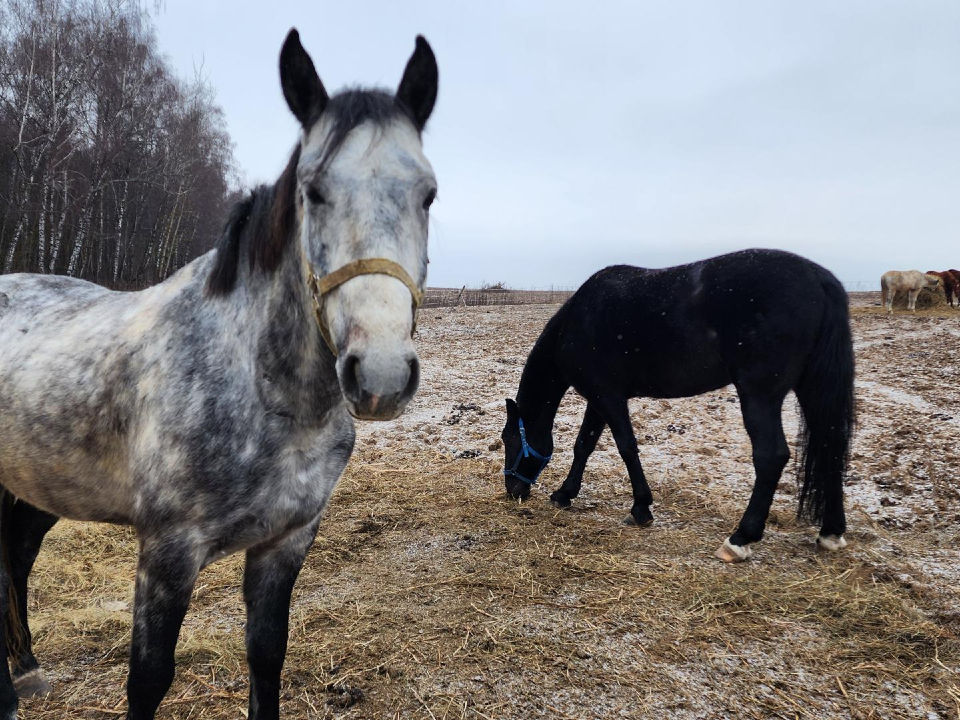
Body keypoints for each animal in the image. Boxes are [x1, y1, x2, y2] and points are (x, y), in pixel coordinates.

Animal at [0, 28, 438, 720]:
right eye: (313, 191)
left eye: (428, 194)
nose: (382, 374)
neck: (266, 393)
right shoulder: (168, 553)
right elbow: (149, 680)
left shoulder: (285, 543)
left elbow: (266, 656)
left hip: (39, 484)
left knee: (15, 554)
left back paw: (27, 670)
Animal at [502, 249, 856, 564]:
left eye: (508, 439)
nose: (513, 490)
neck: (576, 324)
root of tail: (819, 277)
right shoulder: (599, 399)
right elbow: (584, 445)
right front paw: (565, 494)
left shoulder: (608, 397)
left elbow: (626, 447)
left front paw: (641, 508)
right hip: (811, 389)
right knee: (831, 446)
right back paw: (831, 532)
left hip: (759, 395)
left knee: (771, 456)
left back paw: (739, 539)